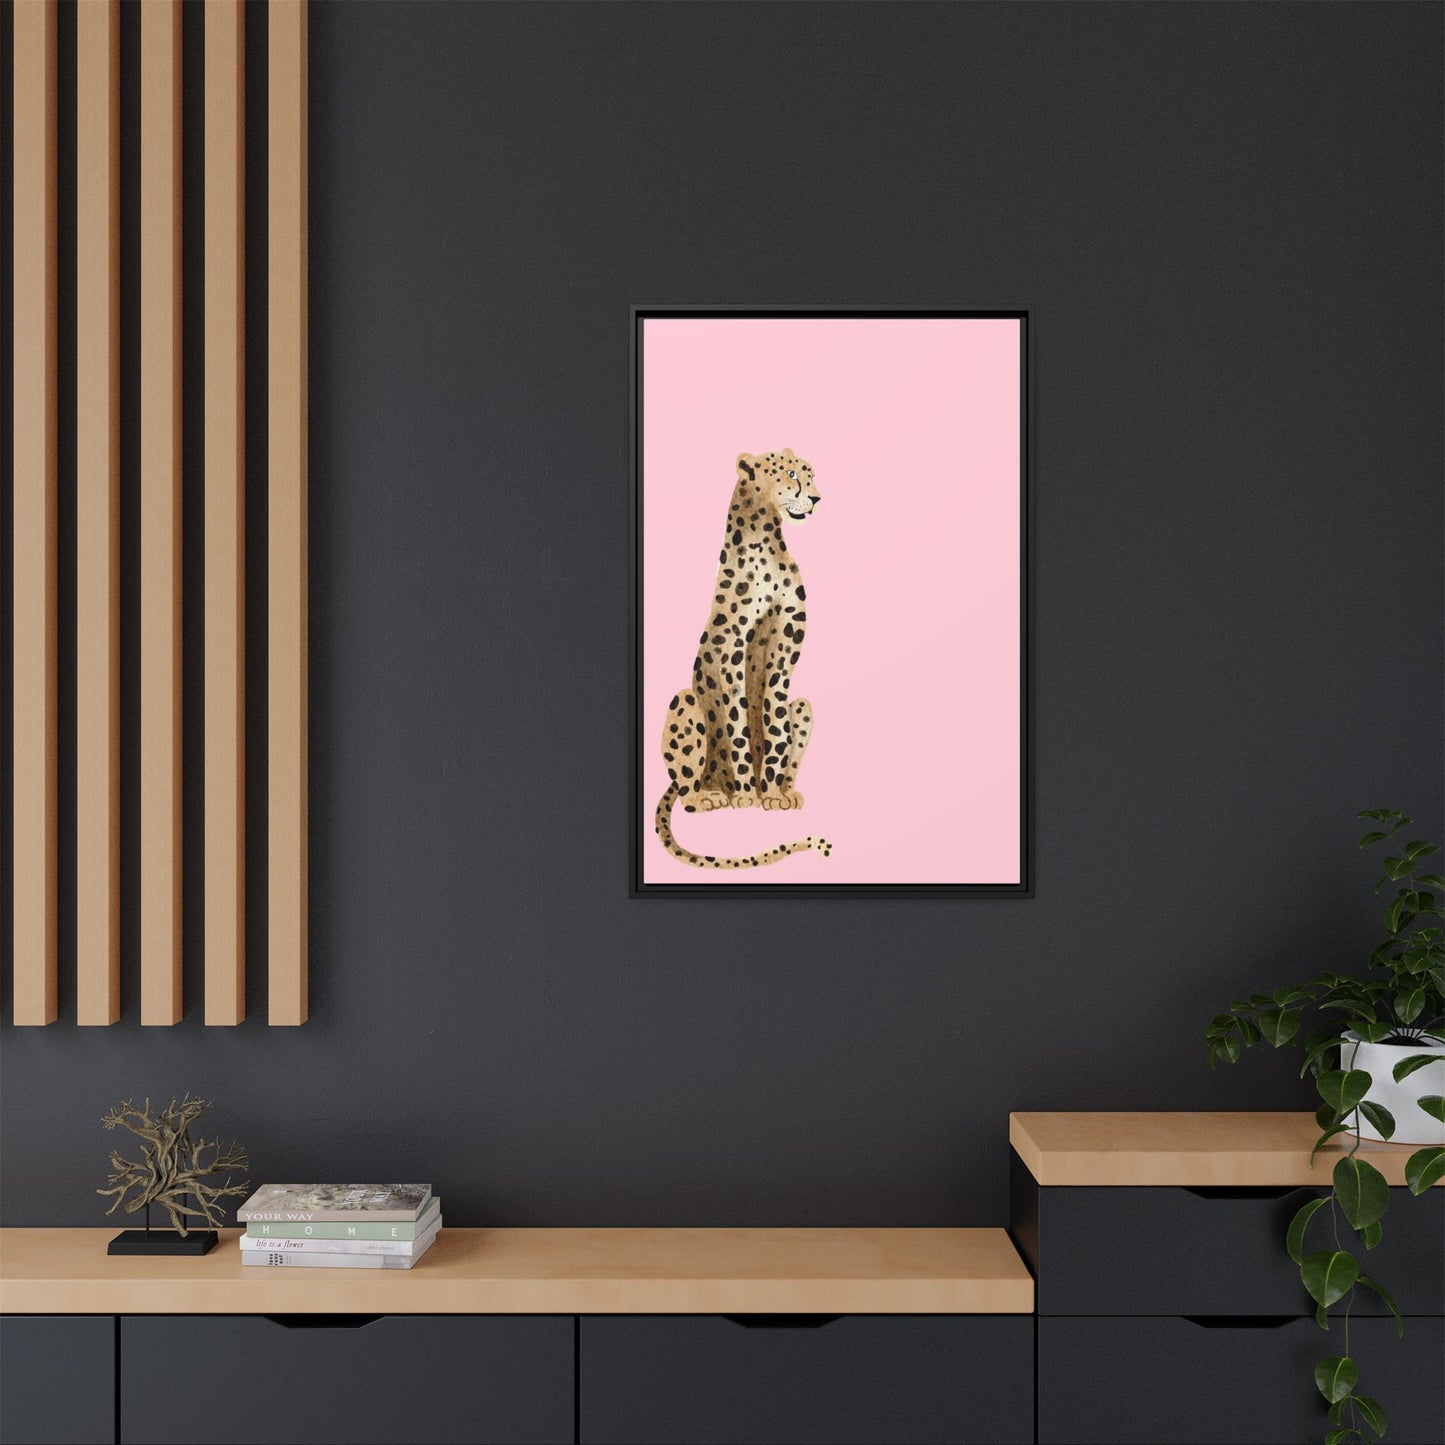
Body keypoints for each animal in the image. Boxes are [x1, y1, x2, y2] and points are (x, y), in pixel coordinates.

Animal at [655, 449, 832, 870]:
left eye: (810, 474)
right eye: (791, 475)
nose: (816, 498)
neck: (766, 535)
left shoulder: (784, 649)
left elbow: (775, 723)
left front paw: (772, 794)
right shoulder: (730, 650)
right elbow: (736, 724)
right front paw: (749, 794)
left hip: (803, 705)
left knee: (797, 710)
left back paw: (788, 791)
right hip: (686, 702)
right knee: (686, 791)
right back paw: (711, 795)